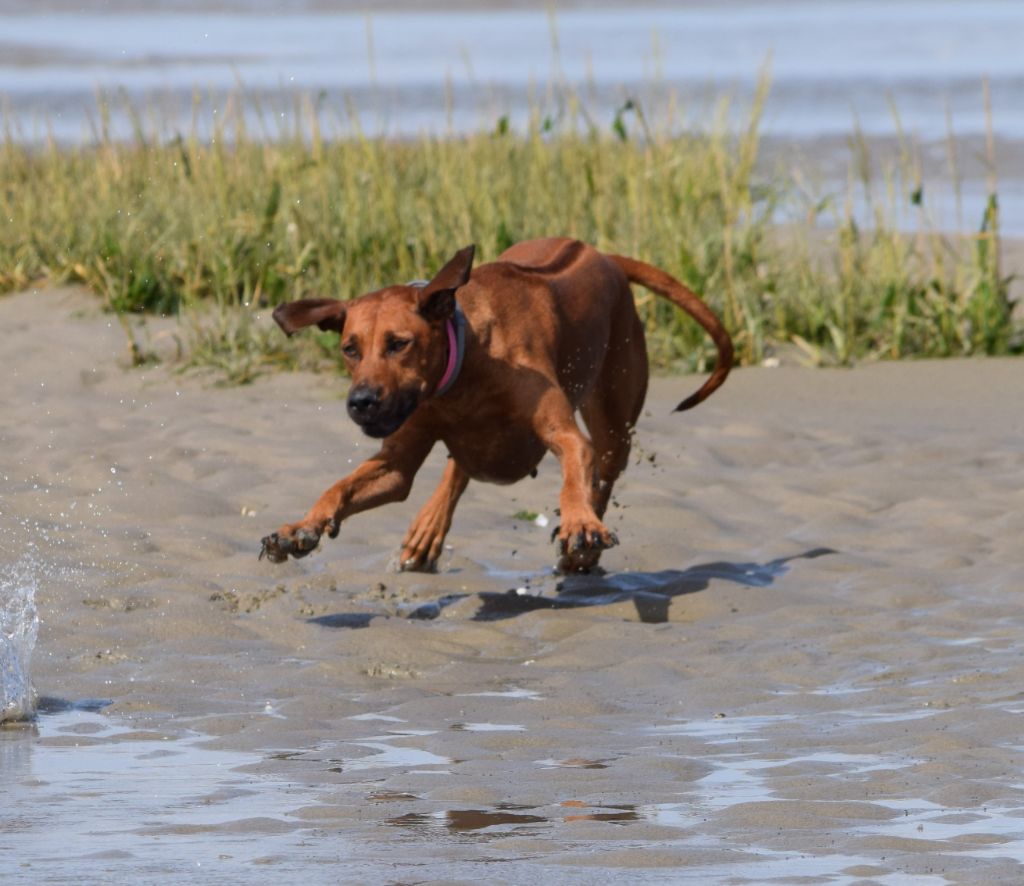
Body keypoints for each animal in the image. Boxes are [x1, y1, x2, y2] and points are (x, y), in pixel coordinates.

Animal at [260, 235, 733, 569]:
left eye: (399, 344)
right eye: (350, 349)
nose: (360, 402)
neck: (463, 371)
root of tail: (606, 257)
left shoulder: (562, 432)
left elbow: (574, 470)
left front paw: (579, 523)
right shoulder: (397, 462)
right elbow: (342, 486)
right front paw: (302, 527)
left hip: (617, 411)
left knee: (605, 469)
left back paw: (582, 550)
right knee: (459, 466)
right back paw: (428, 527)